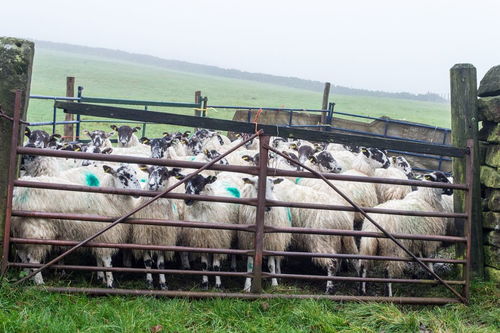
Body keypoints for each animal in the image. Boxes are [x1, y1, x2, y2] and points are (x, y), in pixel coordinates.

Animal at [12, 163, 142, 286]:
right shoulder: (107, 235)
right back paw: (39, 282)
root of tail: (18, 194)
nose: (138, 193)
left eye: (136, 174)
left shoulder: (98, 235)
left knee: (22, 254)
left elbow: (99, 258)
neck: (109, 199)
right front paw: (110, 283)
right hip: (38, 230)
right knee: (33, 259)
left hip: (20, 229)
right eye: (122, 177)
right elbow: (107, 260)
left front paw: (101, 278)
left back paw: (27, 276)